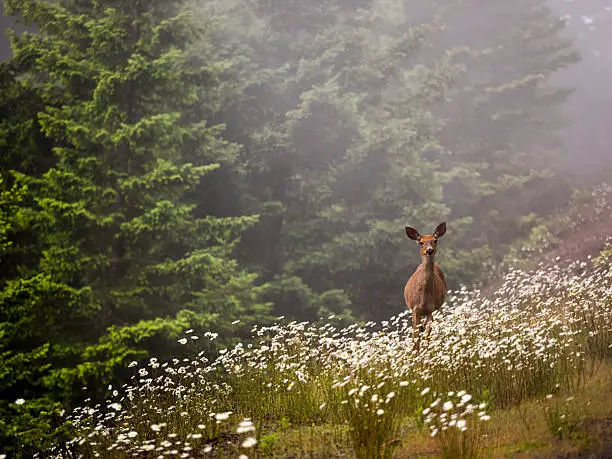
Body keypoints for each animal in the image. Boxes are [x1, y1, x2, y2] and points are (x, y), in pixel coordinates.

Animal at [404, 223, 448, 352]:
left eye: (435, 240)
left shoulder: (430, 309)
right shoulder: (414, 309)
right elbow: (415, 335)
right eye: (421, 242)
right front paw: (415, 353)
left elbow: (428, 333)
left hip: (437, 308)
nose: (429, 250)